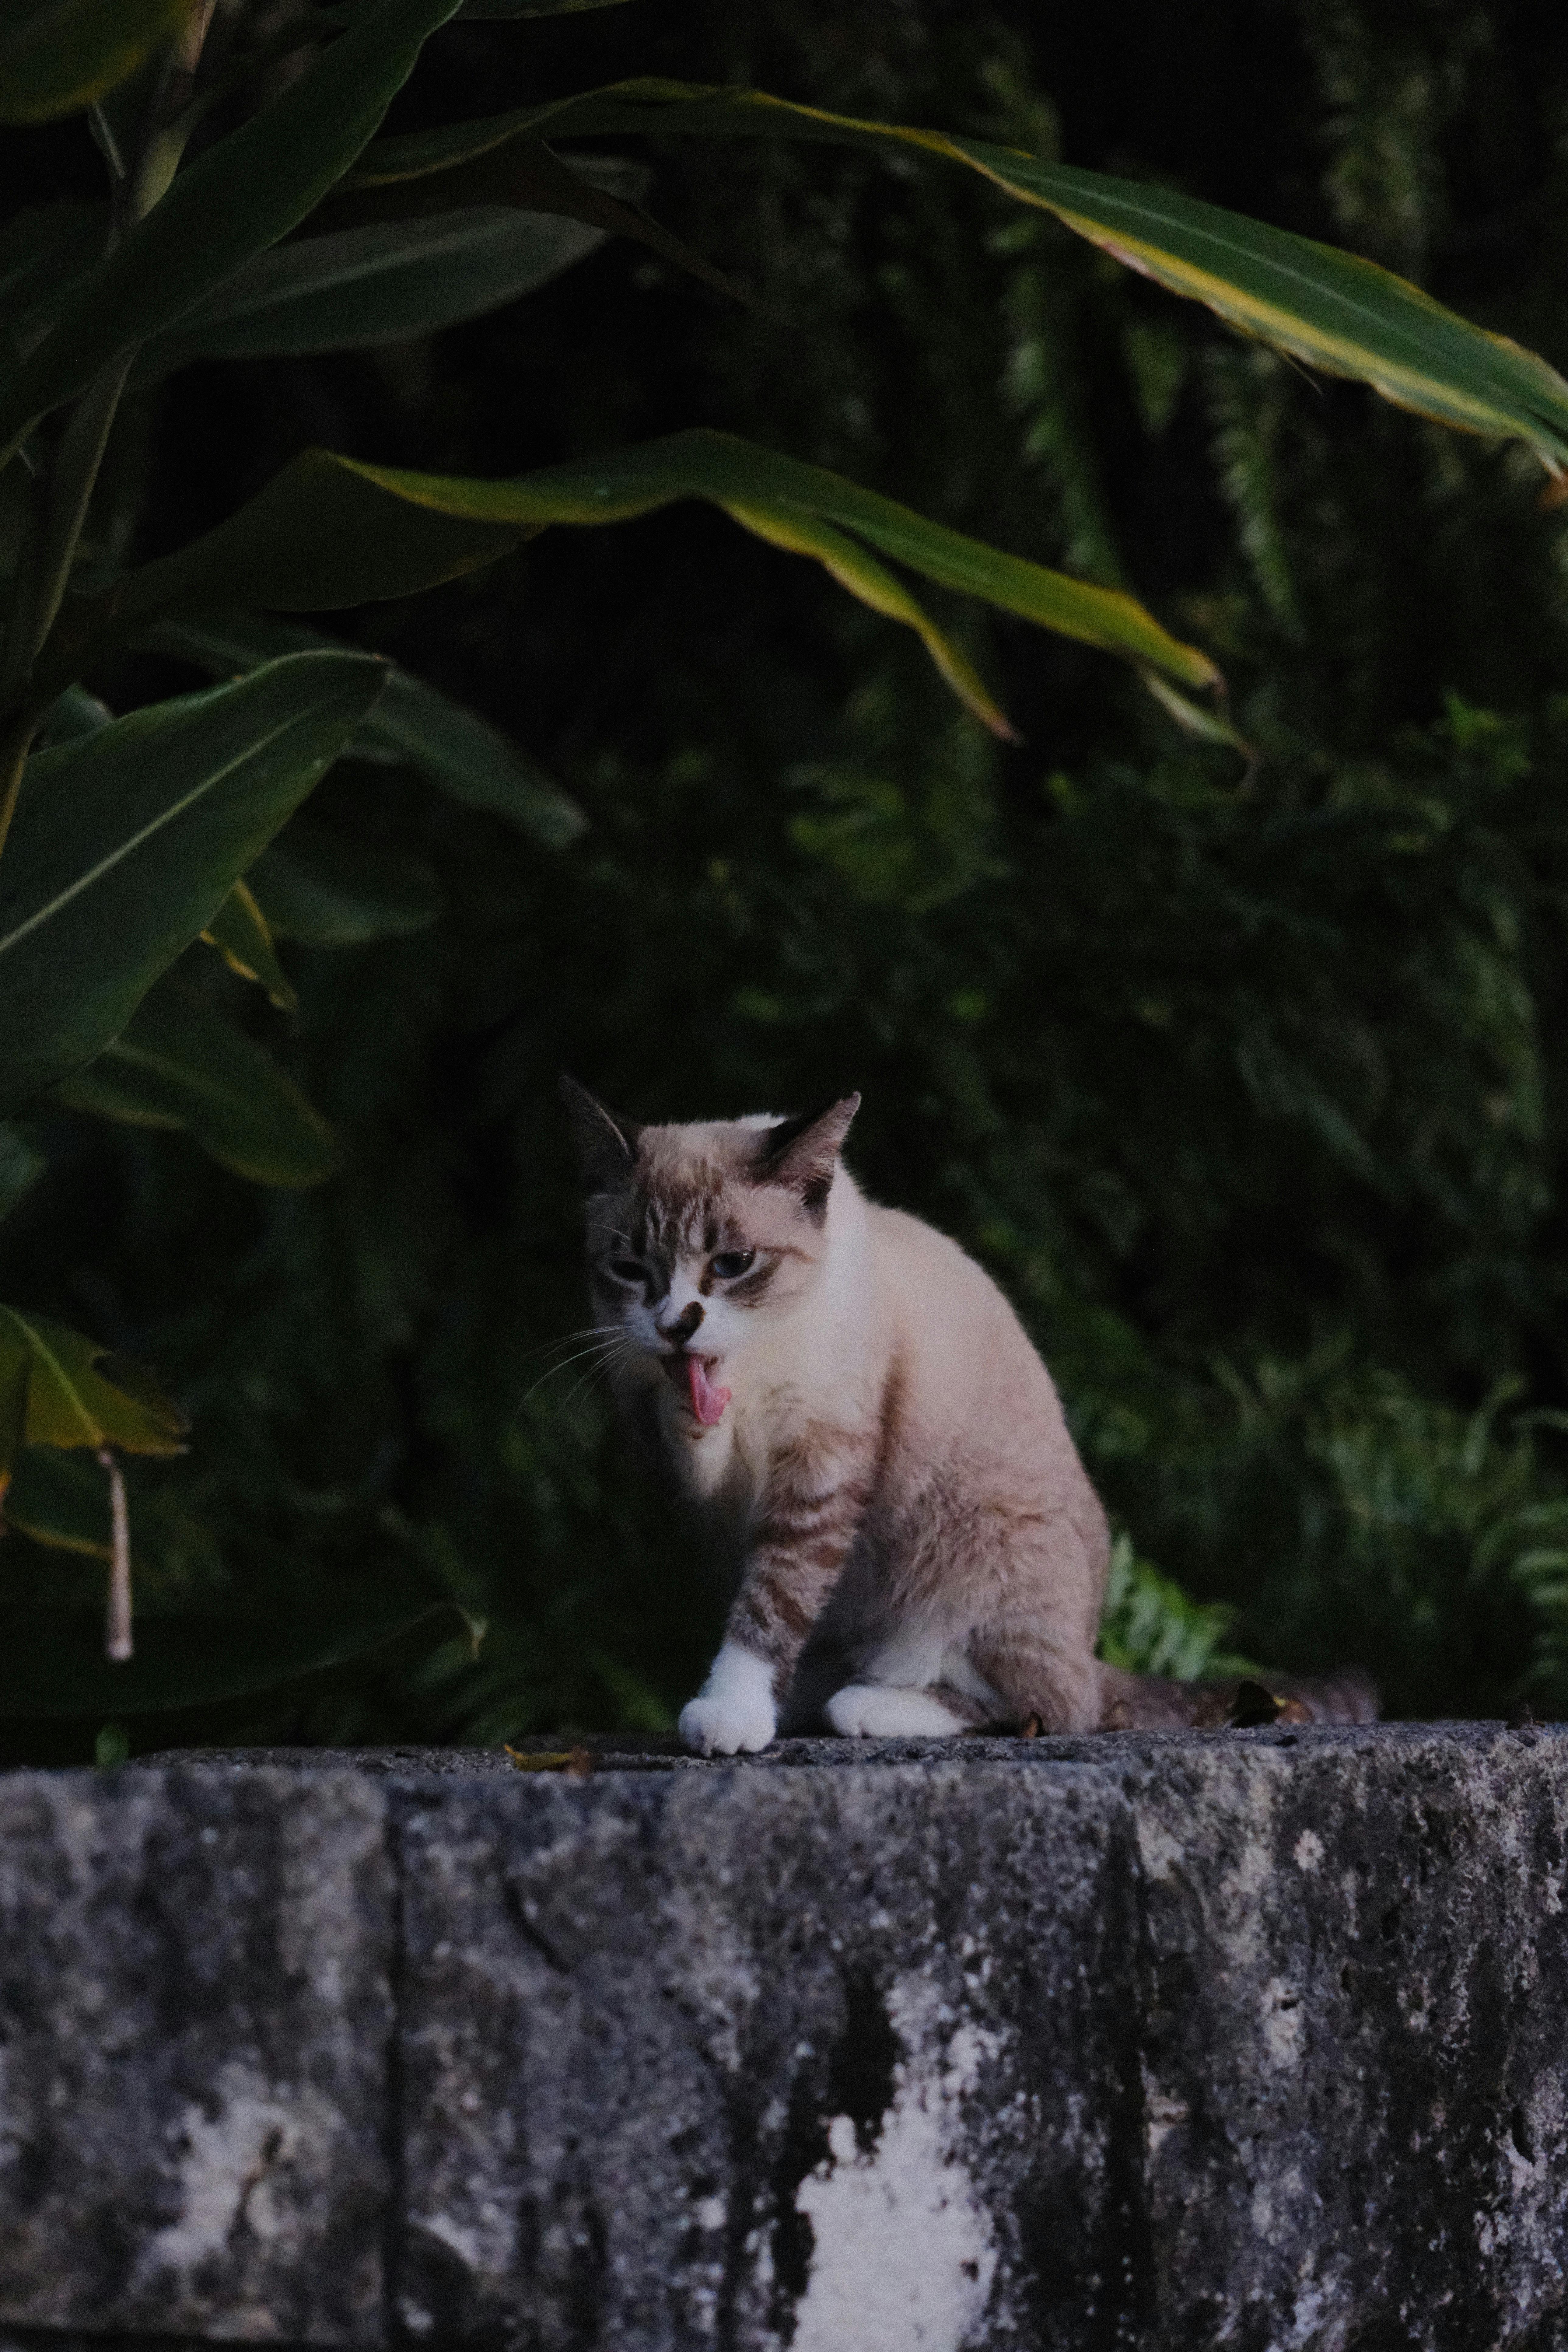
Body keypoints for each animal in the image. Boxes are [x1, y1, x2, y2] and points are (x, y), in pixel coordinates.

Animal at [564, 1082, 1373, 1750]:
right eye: (631, 1269)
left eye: (732, 1264)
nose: (678, 1324)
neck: (750, 1370)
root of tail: (1089, 1650)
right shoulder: (695, 1480)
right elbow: (706, 1466)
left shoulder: (821, 1466)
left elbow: (774, 1599)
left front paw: (729, 1712)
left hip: (980, 1556)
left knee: (1048, 1709)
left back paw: (866, 1703)